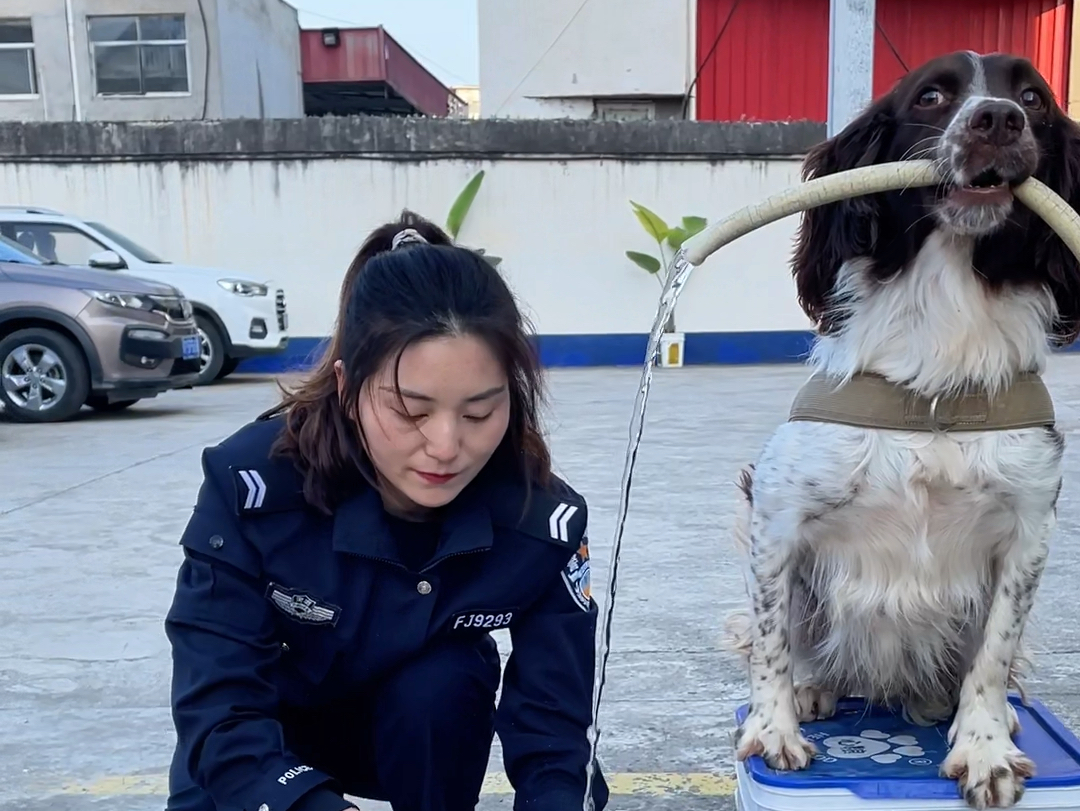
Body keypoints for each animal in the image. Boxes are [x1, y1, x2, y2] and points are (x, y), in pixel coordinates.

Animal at [725, 52, 1080, 811]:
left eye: (1034, 98)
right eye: (932, 95)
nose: (997, 119)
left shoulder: (1030, 525)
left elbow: (995, 650)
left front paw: (984, 747)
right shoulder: (776, 512)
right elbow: (771, 639)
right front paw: (774, 728)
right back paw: (816, 688)